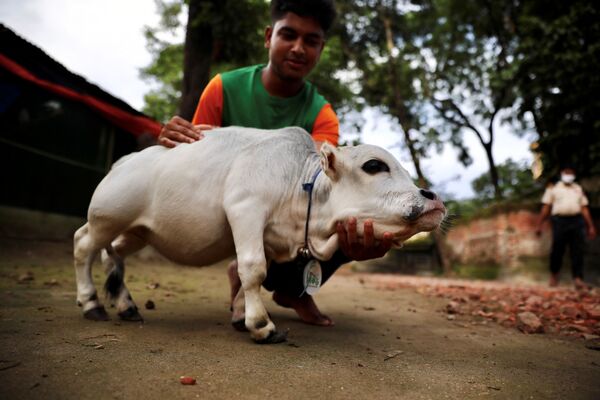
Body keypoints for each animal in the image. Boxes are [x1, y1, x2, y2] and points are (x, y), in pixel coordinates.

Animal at [72, 127, 442, 344]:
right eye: (374, 165)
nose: (433, 198)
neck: (300, 184)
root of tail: (123, 162)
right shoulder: (245, 209)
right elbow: (252, 268)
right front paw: (261, 325)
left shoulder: (267, 236)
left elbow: (247, 274)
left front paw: (241, 315)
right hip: (107, 217)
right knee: (83, 245)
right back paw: (91, 302)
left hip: (137, 231)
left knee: (112, 254)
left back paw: (125, 304)